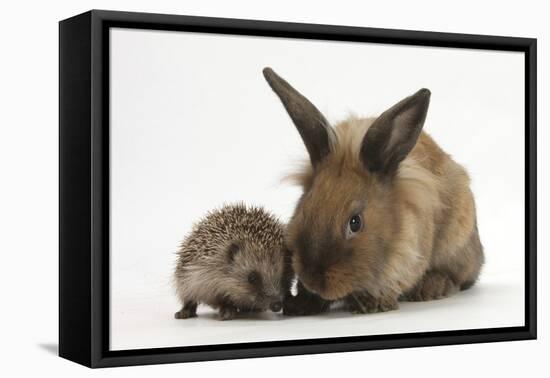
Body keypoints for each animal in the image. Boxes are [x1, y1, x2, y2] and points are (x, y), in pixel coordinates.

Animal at [266, 66, 486, 314]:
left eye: (355, 223)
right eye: (303, 210)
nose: (312, 278)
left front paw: (372, 305)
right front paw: (300, 304)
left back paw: (432, 287)